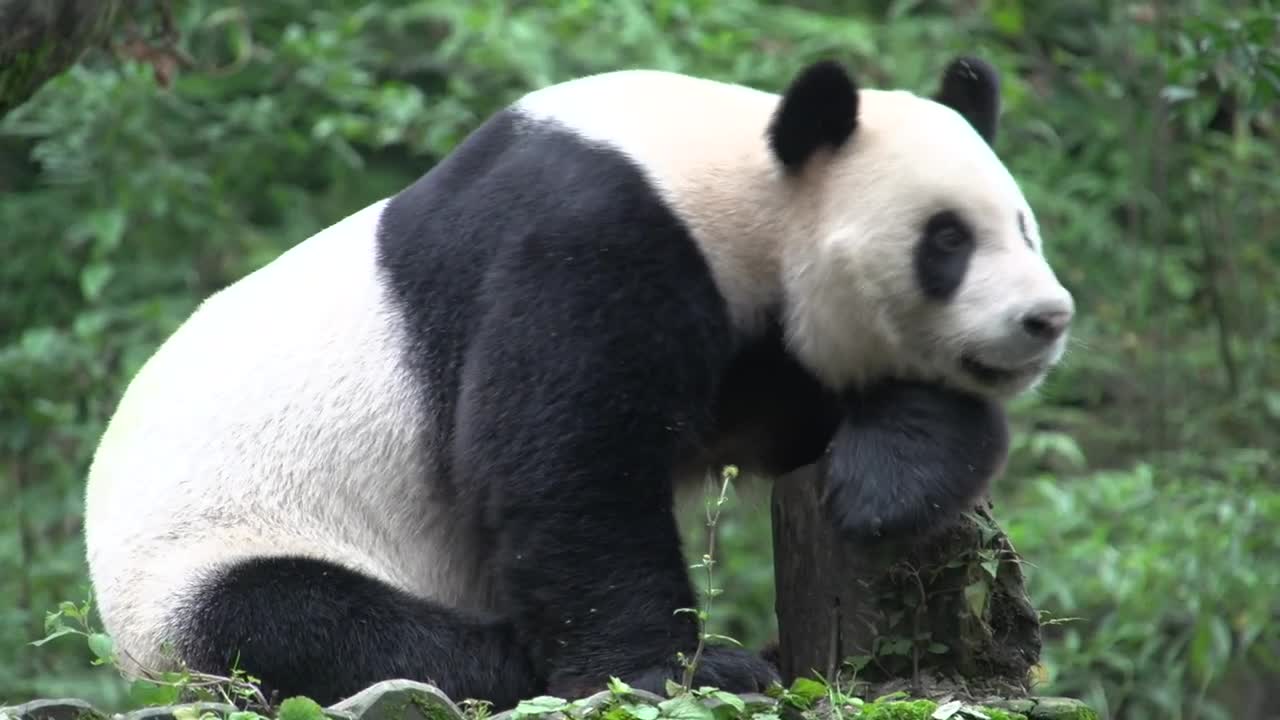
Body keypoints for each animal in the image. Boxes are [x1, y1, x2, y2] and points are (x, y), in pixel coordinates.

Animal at [83, 56, 1073, 710]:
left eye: (1024, 226)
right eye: (946, 240)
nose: (1045, 318)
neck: (737, 175)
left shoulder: (747, 342)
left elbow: (789, 421)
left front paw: (892, 470)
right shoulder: (587, 233)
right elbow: (563, 461)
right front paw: (667, 672)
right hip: (209, 561)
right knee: (320, 631)